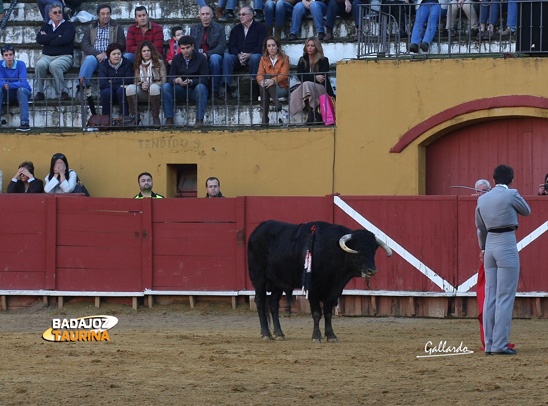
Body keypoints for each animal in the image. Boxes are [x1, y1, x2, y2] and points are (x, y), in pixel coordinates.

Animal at [246, 220, 392, 340]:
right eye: (358, 249)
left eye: (373, 250)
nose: (372, 270)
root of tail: (258, 229)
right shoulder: (312, 289)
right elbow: (317, 313)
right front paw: (316, 336)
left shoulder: (334, 290)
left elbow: (327, 312)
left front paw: (331, 335)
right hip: (259, 278)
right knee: (260, 301)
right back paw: (266, 334)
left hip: (277, 282)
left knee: (274, 304)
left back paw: (279, 334)